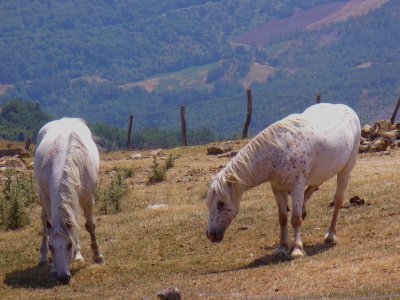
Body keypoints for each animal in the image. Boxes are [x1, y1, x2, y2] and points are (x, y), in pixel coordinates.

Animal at [34, 117, 103, 284]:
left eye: (69, 245)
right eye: (52, 247)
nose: (63, 278)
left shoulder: (88, 197)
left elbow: (89, 226)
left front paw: (97, 255)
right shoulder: (47, 198)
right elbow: (49, 226)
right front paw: (53, 267)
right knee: (45, 222)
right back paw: (43, 258)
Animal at [206, 103, 362, 258]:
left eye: (220, 204)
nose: (210, 235)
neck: (277, 152)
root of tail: (347, 109)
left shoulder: (297, 185)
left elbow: (296, 219)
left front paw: (297, 249)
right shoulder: (277, 188)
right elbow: (283, 218)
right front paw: (282, 247)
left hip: (346, 170)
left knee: (338, 200)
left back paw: (330, 234)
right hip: (320, 172)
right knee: (313, 188)